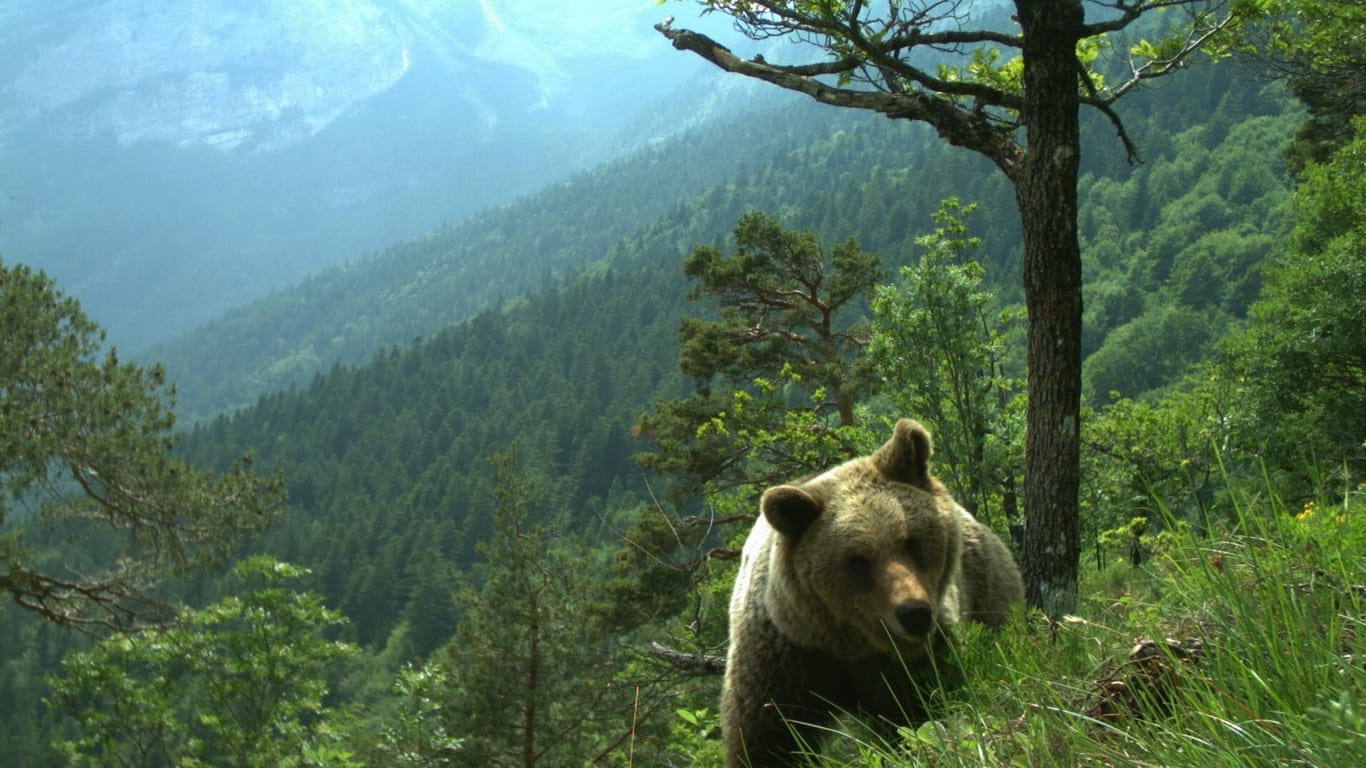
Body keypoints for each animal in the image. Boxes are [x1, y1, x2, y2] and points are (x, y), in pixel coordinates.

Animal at [726, 418, 1027, 765]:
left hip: (988, 590)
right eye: (857, 560)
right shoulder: (786, 657)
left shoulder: (914, 660)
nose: (914, 614)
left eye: (911, 541)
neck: (852, 644)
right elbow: (769, 737)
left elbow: (921, 713)